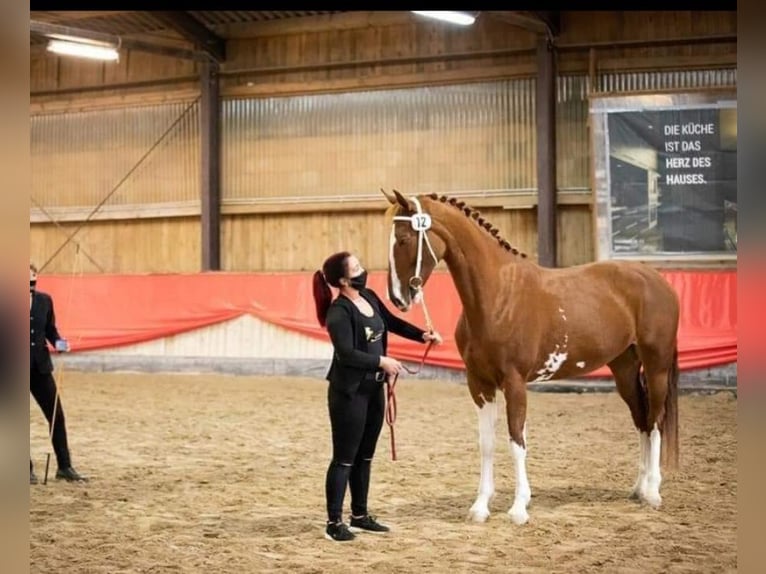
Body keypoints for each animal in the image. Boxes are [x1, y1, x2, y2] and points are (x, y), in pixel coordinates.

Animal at [388, 190, 680, 528]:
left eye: (404, 239)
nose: (397, 298)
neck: (498, 296)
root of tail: (656, 279)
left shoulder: (515, 383)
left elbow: (517, 441)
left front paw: (518, 508)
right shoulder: (479, 384)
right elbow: (487, 443)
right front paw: (480, 506)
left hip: (656, 366)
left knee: (656, 420)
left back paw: (653, 492)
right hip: (625, 369)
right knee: (641, 418)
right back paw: (638, 488)